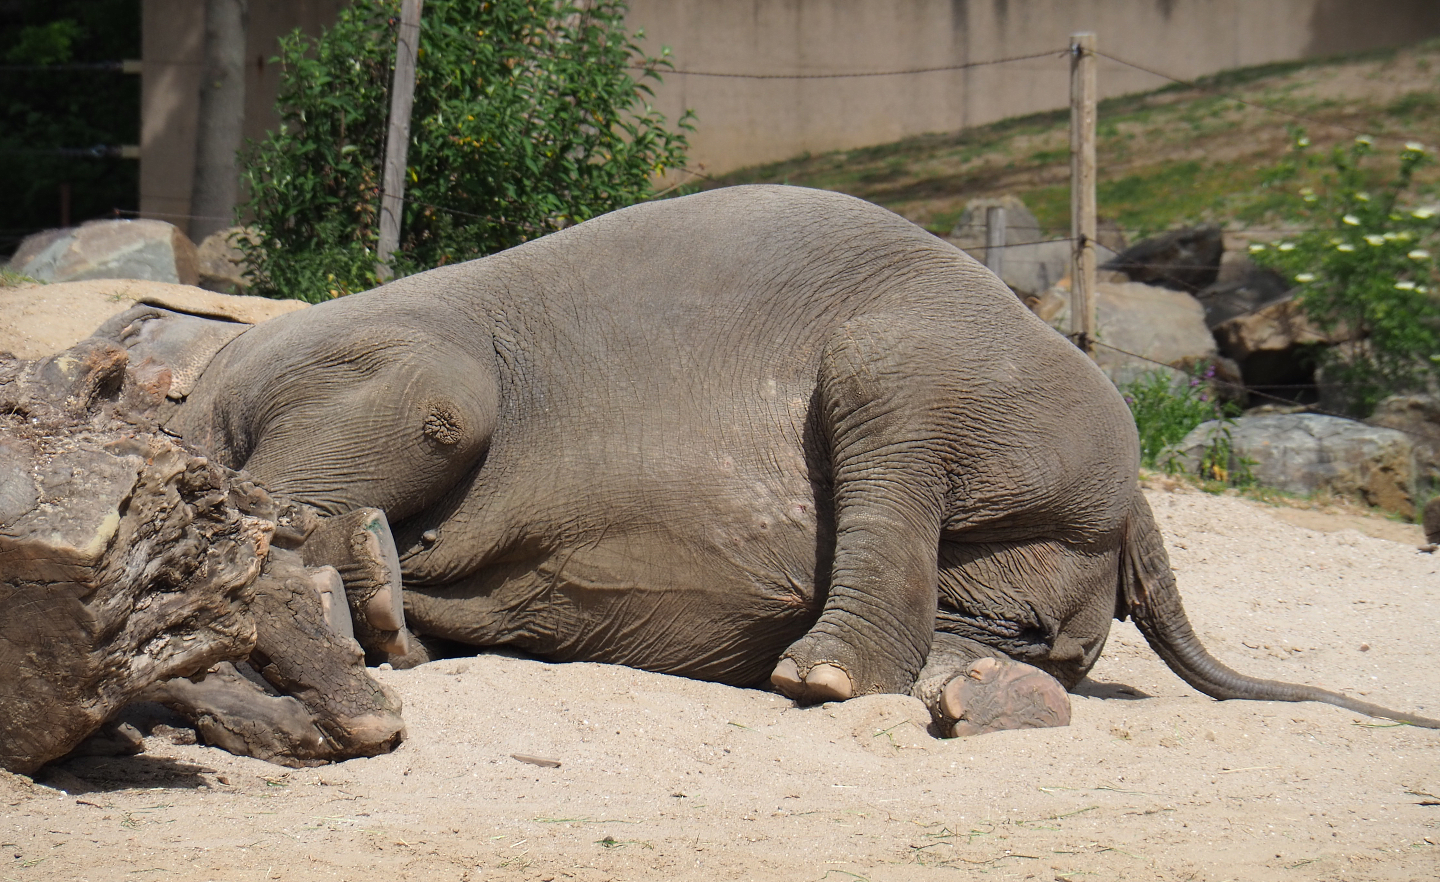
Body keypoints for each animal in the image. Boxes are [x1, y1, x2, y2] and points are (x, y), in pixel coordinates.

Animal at [97, 185, 1437, 746]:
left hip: (935, 364)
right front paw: (374, 603)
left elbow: (432, 412)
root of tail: (1142, 503)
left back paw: (827, 680)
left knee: (890, 422)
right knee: (1008, 624)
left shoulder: (366, 357)